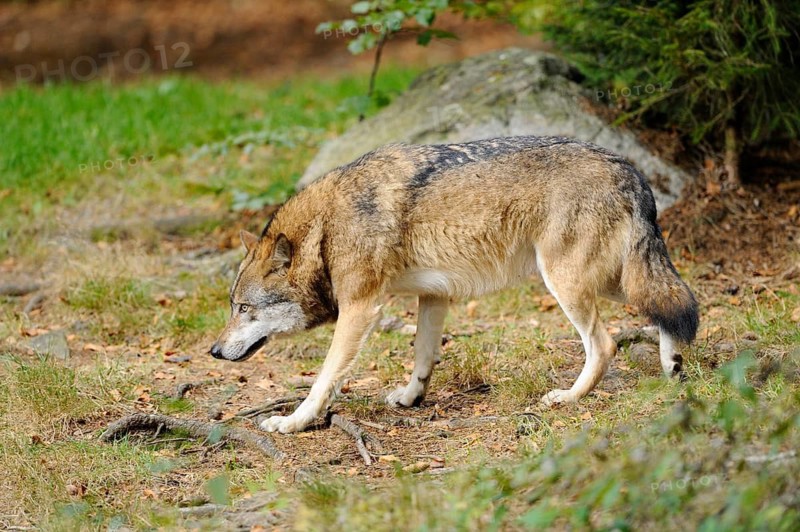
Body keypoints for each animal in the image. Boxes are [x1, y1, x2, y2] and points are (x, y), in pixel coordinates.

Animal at [210, 136, 698, 434]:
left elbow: (325, 377)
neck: (325, 231)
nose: (213, 351)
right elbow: (423, 355)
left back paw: (569, 397)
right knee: (674, 304)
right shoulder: (433, 294)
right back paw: (672, 366)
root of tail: (631, 170)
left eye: (244, 309)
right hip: (610, 279)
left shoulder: (361, 308)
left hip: (566, 283)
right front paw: (412, 397)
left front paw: (293, 422)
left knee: (606, 343)